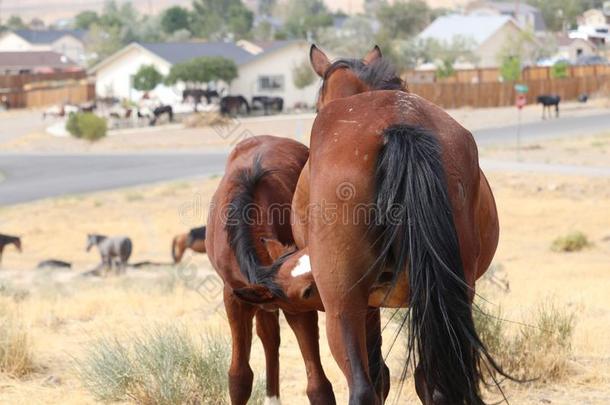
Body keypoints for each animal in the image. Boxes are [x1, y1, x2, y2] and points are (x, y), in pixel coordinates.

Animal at [207, 136, 334, 404]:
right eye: (307, 291)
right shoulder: (236, 298)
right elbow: (239, 377)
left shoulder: (297, 310)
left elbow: (318, 387)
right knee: (269, 337)